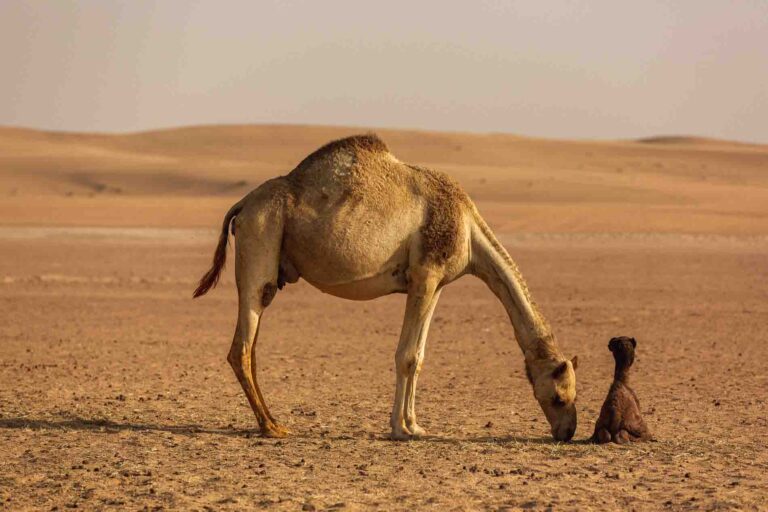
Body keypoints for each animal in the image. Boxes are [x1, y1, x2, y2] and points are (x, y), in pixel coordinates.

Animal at [195, 133, 580, 440]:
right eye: (559, 396)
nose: (568, 432)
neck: (469, 232)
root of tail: (243, 203)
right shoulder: (425, 275)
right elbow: (406, 355)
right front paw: (401, 428)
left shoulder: (436, 284)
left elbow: (419, 356)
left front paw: (415, 425)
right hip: (262, 236)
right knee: (241, 345)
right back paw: (270, 427)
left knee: (251, 346)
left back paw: (272, 421)